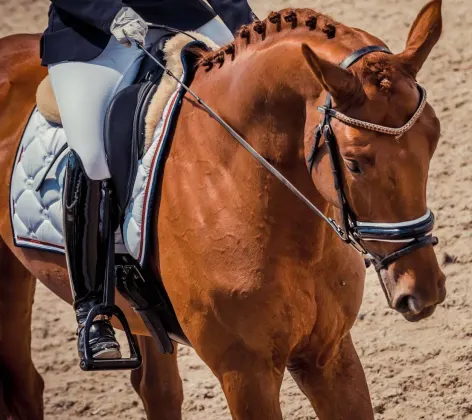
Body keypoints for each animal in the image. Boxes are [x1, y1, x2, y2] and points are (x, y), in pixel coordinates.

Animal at [0, 0, 444, 420]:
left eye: (434, 138)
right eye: (353, 162)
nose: (424, 292)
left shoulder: (330, 355)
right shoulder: (244, 373)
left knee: (156, 391)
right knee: (23, 386)